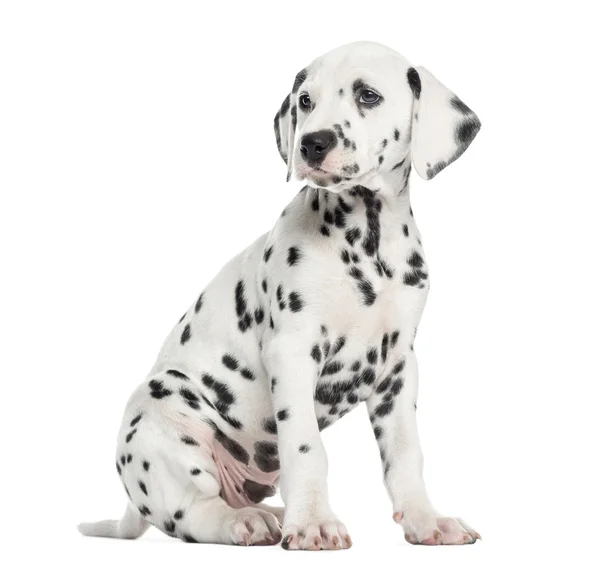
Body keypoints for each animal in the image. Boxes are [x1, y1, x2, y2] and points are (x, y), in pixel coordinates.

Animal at [79, 42, 482, 552]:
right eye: (305, 101)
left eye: (368, 95)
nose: (312, 143)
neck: (367, 237)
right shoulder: (292, 350)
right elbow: (307, 449)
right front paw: (313, 523)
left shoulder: (398, 367)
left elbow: (406, 454)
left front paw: (426, 519)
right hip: (162, 410)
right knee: (194, 511)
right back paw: (245, 522)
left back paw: (268, 513)